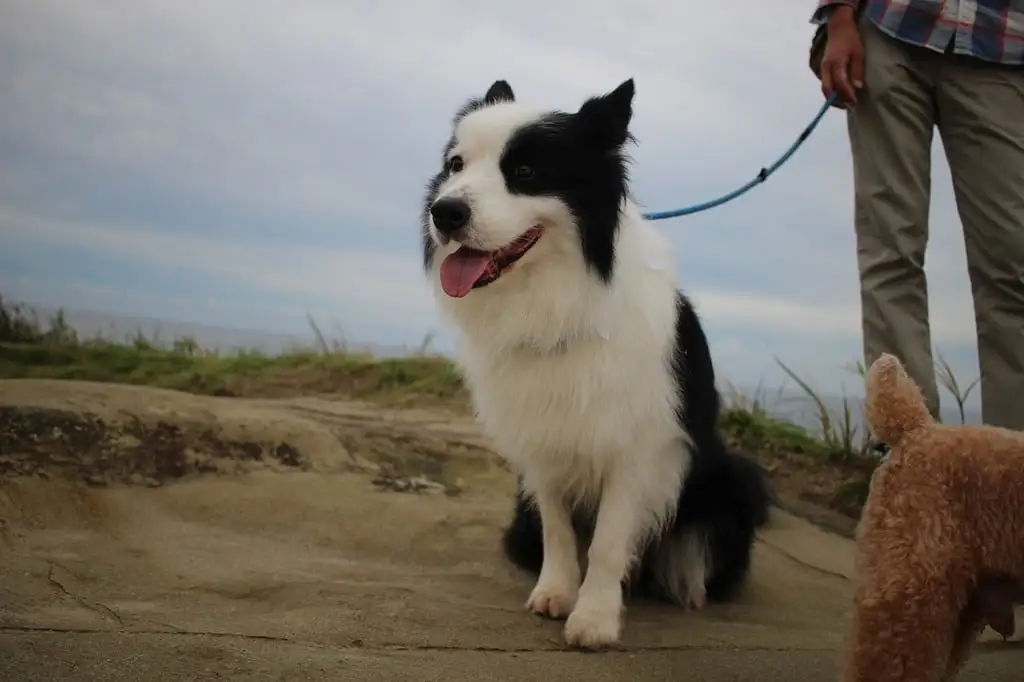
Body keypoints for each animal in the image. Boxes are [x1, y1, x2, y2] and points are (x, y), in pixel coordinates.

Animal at [417, 79, 770, 647]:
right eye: (455, 165)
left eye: (525, 172)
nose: (444, 213)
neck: (563, 301)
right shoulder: (541, 445)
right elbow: (560, 530)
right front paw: (557, 593)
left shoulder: (637, 447)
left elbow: (607, 541)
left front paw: (595, 618)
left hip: (732, 478)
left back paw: (687, 584)